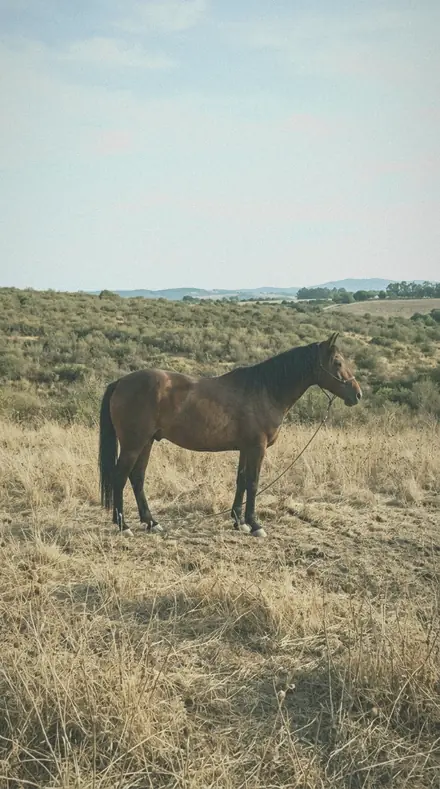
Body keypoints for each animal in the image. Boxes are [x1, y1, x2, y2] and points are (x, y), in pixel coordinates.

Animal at [98, 332, 362, 538]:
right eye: (337, 362)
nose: (357, 394)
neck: (265, 390)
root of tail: (121, 381)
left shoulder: (246, 448)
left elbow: (241, 481)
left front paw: (239, 521)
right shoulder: (257, 448)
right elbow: (253, 483)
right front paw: (255, 525)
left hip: (147, 442)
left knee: (137, 478)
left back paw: (151, 522)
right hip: (133, 444)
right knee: (120, 477)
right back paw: (124, 525)